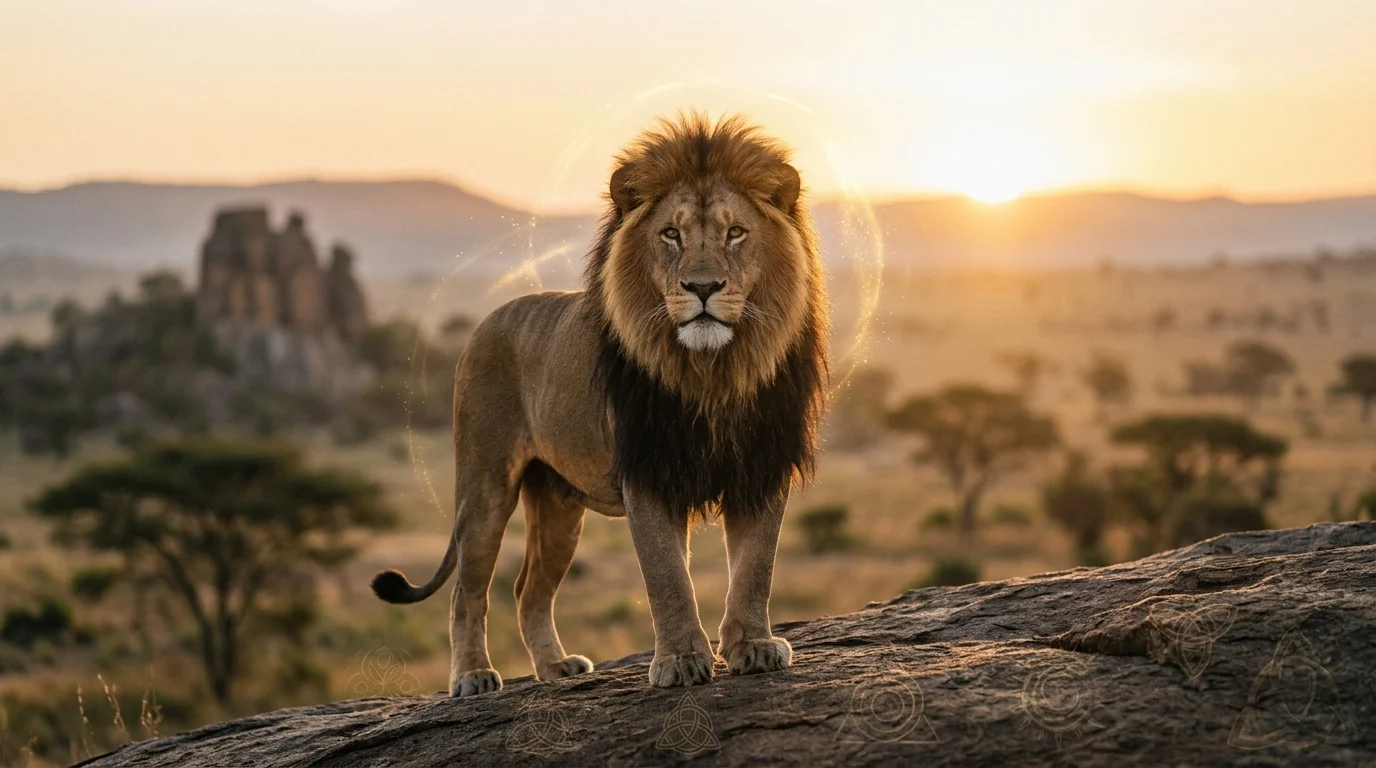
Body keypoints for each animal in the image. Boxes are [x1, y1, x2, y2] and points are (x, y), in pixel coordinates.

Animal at [371, 113, 829, 696]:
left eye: (736, 232)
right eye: (671, 234)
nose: (702, 287)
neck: (713, 372)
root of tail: (487, 320)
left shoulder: (761, 465)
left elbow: (756, 567)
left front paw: (754, 646)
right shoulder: (648, 471)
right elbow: (667, 577)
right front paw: (681, 660)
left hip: (557, 504)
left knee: (528, 590)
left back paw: (555, 668)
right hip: (484, 485)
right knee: (467, 590)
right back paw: (473, 676)